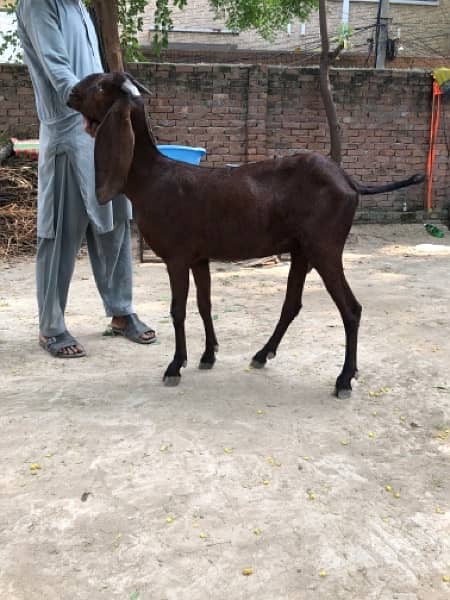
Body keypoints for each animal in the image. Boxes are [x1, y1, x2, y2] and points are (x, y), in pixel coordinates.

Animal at [67, 72, 426, 396]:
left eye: (101, 86)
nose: (70, 93)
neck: (153, 177)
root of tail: (349, 181)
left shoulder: (177, 256)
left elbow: (178, 310)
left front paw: (175, 366)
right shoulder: (199, 256)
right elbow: (205, 304)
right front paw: (208, 355)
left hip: (326, 247)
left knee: (351, 309)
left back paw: (344, 380)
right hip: (302, 249)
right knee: (292, 304)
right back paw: (262, 355)